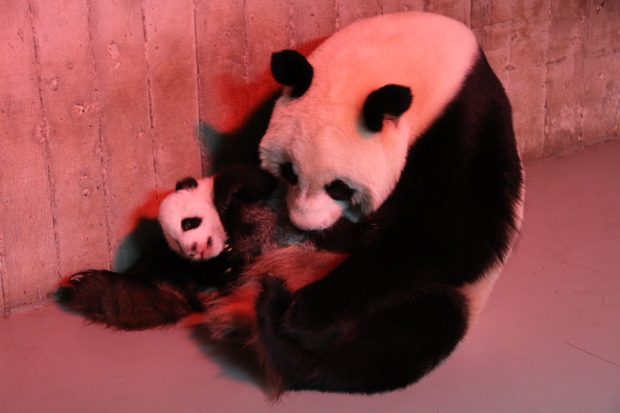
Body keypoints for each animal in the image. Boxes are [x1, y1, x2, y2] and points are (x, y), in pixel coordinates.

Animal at [57, 12, 524, 398]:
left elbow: (449, 234)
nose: (305, 228)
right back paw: (107, 292)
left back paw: (278, 322)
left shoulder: (464, 123)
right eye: (290, 171)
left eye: (340, 188)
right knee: (171, 270)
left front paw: (307, 315)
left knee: (400, 338)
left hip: (444, 298)